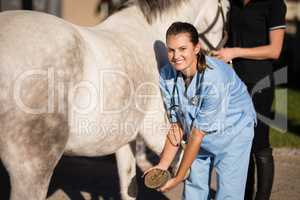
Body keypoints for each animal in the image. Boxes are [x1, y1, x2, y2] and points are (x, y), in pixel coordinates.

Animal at [0, 0, 229, 199]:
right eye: (227, 9)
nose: (220, 56)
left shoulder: (124, 138)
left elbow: (129, 187)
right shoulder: (157, 132)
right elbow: (183, 161)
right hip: (34, 167)